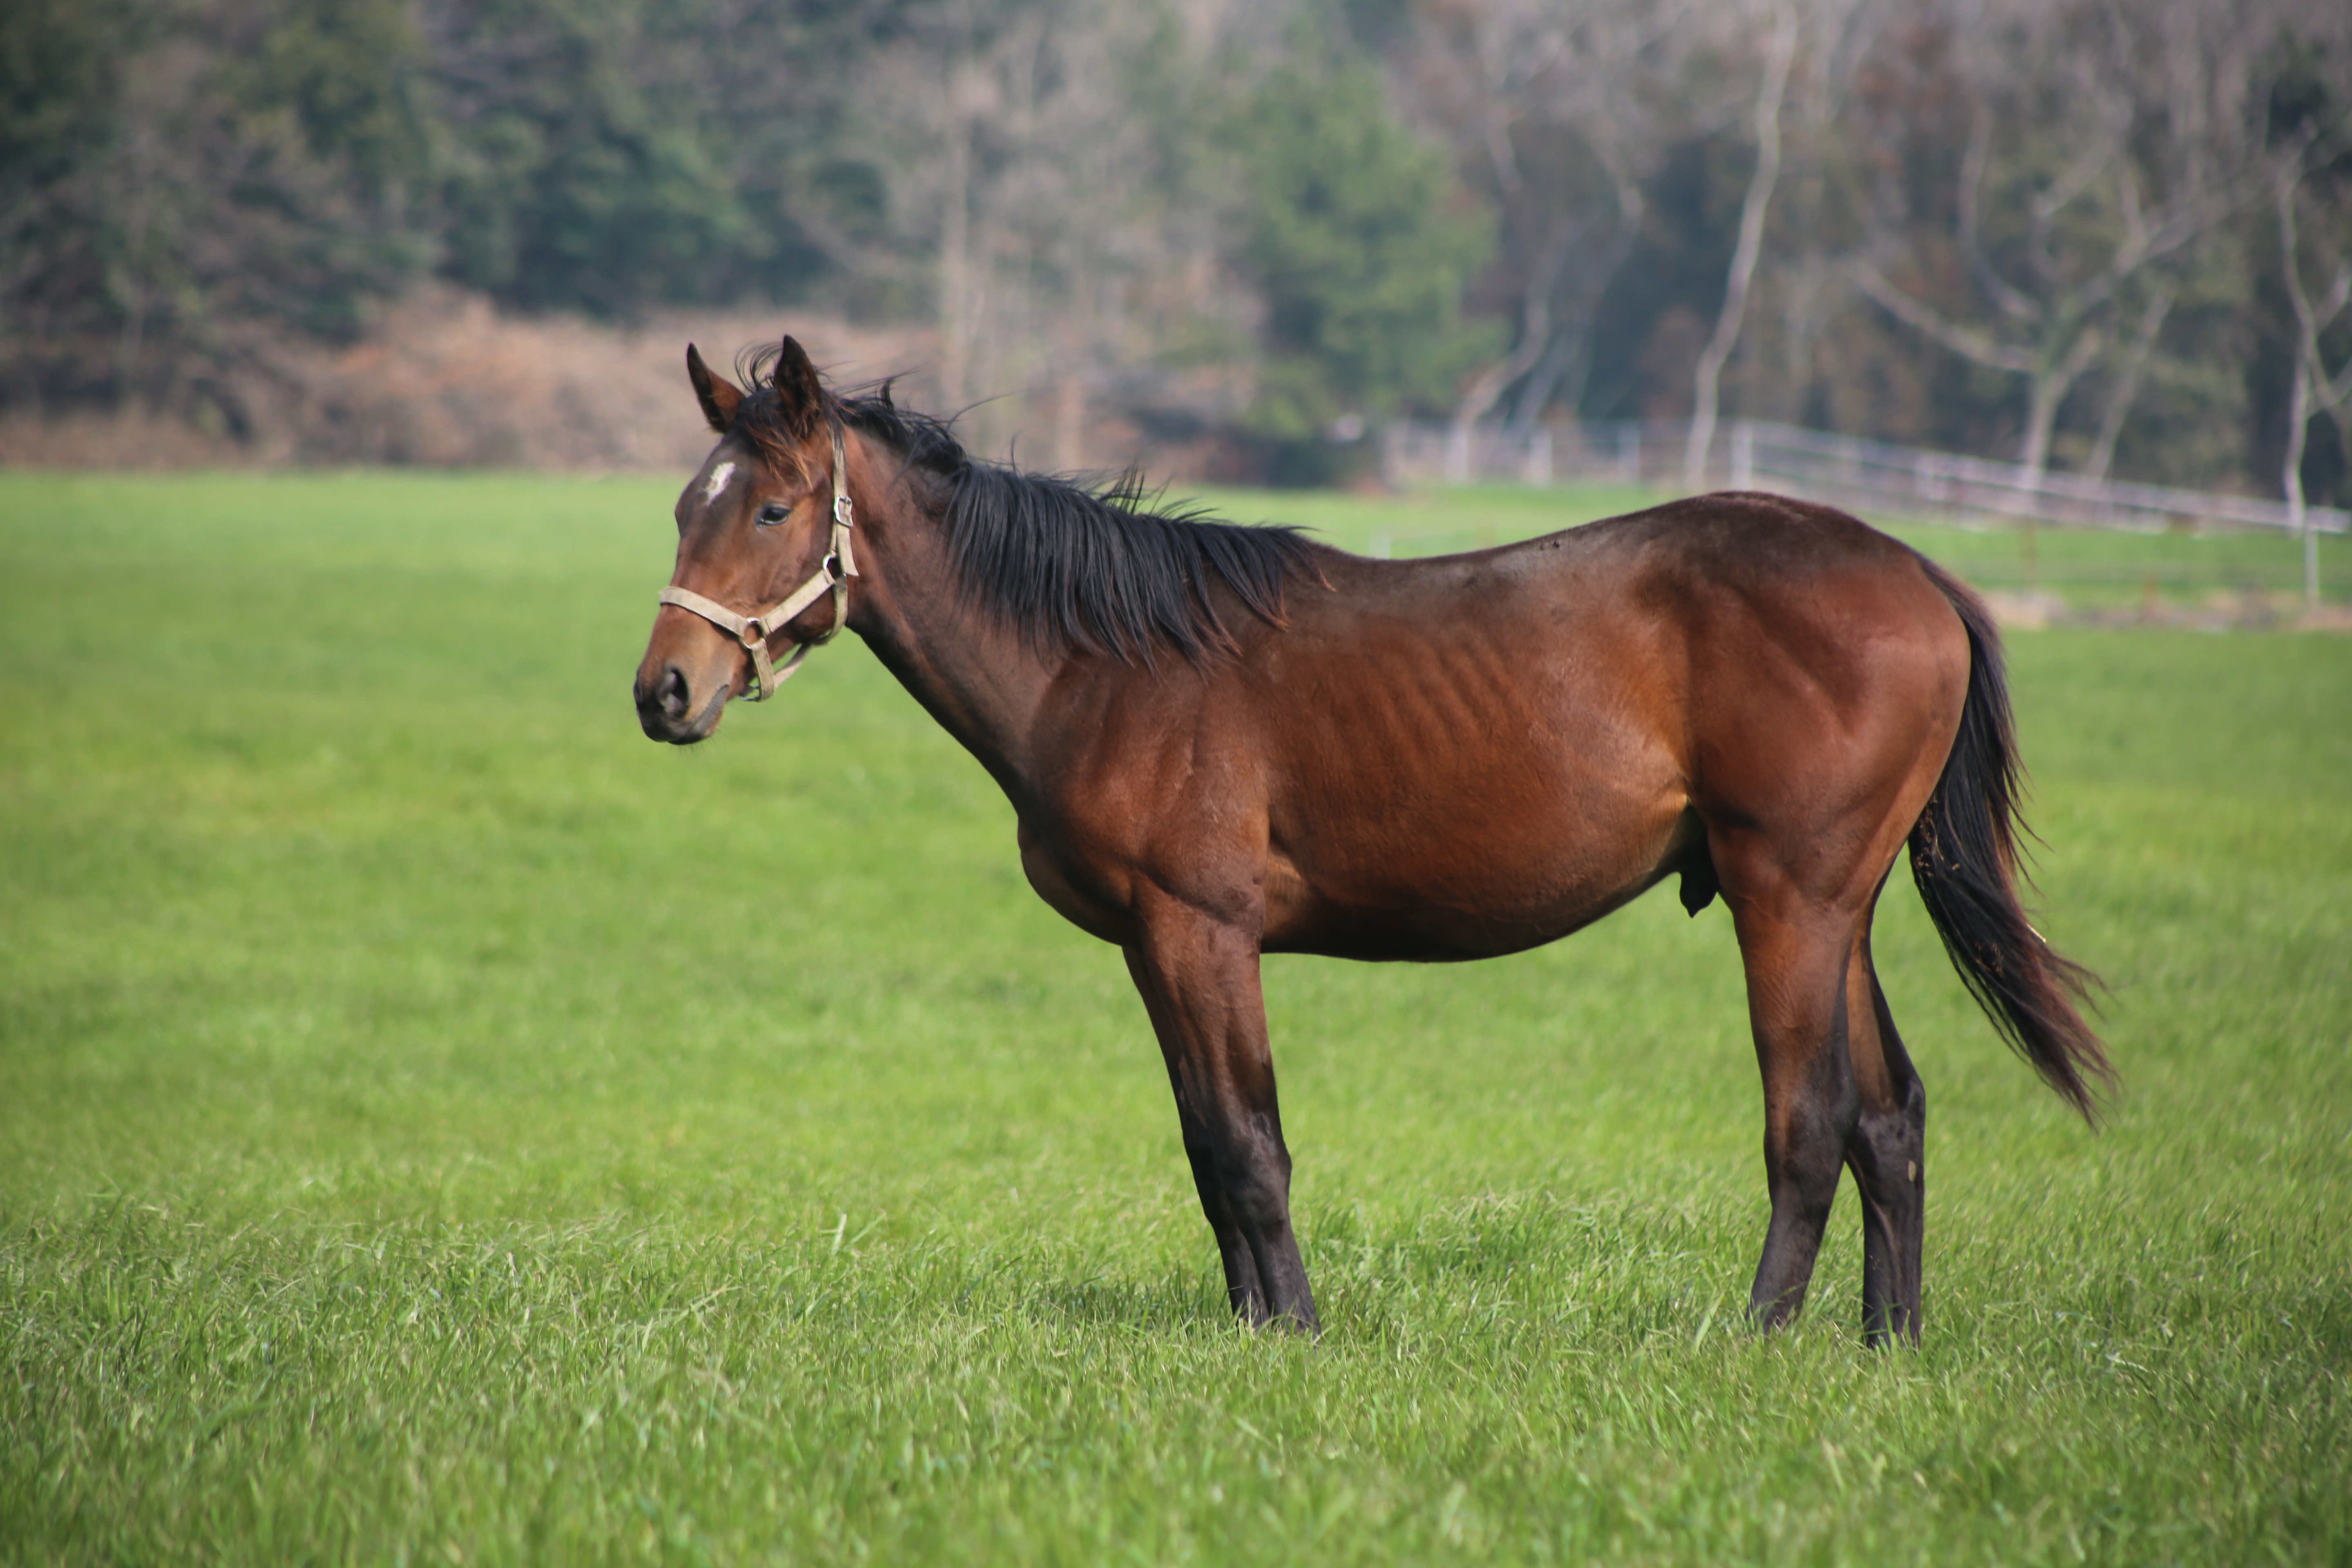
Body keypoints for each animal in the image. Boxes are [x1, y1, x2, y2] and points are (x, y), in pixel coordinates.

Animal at [635, 339, 2107, 1345]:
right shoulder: (1152, 949)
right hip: (1837, 908)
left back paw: (1755, 1336)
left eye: (771, 510)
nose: (664, 694)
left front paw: (1292, 1331)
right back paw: (1883, 1345)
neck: (1105, 662)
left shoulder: (1203, 931)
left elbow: (1250, 1145)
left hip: (1788, 901)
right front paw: (1249, 1328)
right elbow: (1204, 1142)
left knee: (1808, 1119)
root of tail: (1918, 575)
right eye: (684, 508)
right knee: (1890, 1115)